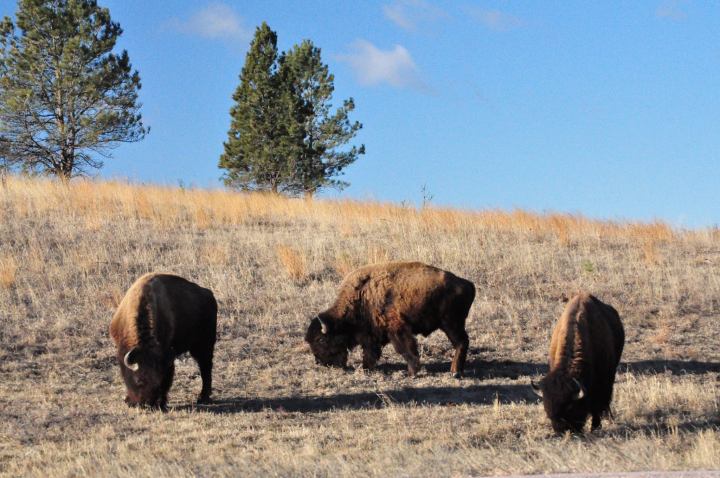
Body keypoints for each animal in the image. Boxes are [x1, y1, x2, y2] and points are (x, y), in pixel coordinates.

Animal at [109, 272, 217, 410]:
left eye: (158, 382)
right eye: (139, 381)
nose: (147, 404)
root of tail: (209, 295)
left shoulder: (167, 358)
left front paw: (162, 402)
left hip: (204, 344)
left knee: (205, 367)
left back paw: (203, 397)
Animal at [306, 262, 476, 378]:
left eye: (321, 340)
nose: (319, 362)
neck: (361, 298)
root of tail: (468, 284)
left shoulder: (397, 330)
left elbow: (405, 349)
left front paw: (412, 373)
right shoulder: (372, 336)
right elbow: (370, 352)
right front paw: (367, 368)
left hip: (451, 324)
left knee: (461, 342)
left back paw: (455, 372)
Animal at [528, 292, 624, 434]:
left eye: (569, 407)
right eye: (547, 407)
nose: (561, 431)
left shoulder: (601, 383)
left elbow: (597, 405)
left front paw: (595, 427)